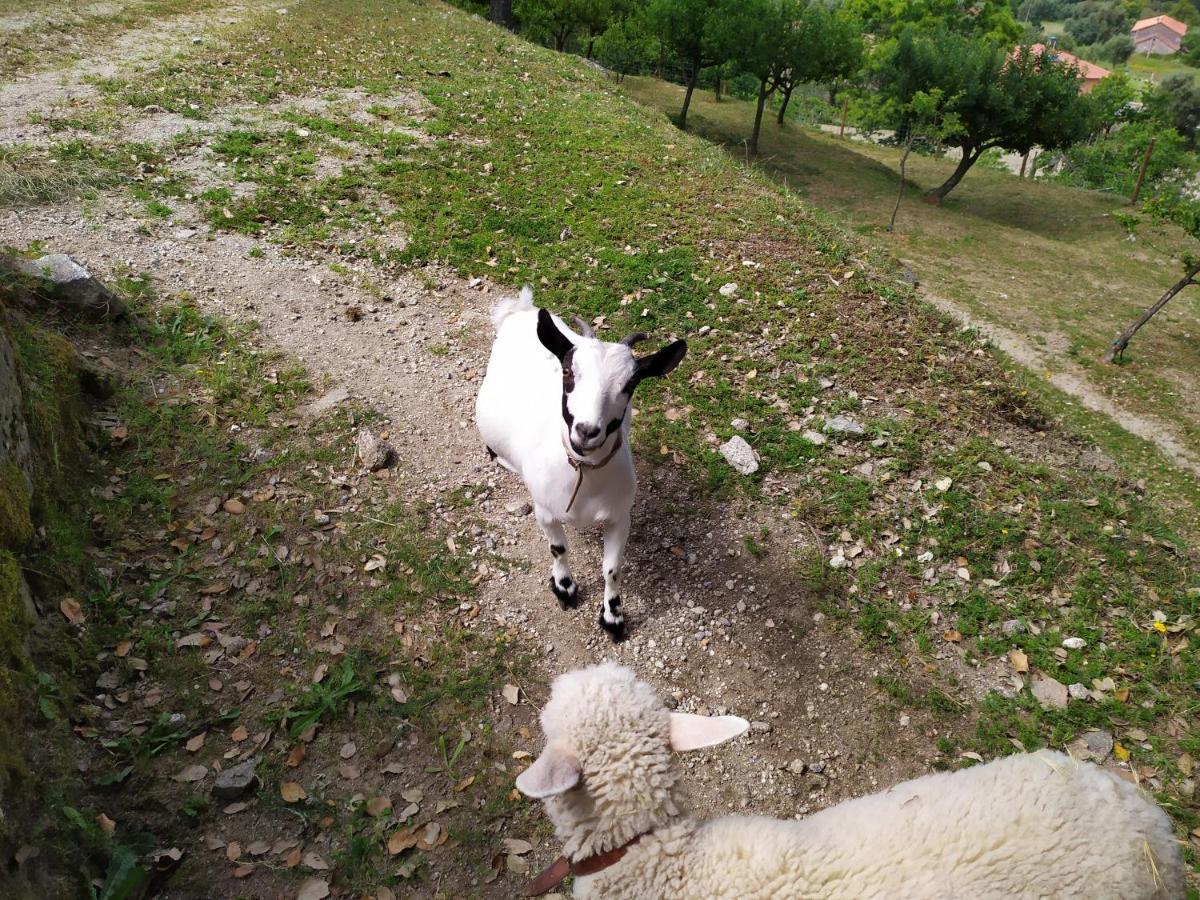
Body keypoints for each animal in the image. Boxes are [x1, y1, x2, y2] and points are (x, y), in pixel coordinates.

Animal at [475, 289, 686, 643]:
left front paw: (613, 617)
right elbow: (558, 548)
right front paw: (565, 588)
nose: (587, 431)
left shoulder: (619, 516)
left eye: (630, 385)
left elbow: (612, 569)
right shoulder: (545, 509)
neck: (584, 475)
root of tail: (521, 310)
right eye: (568, 373)